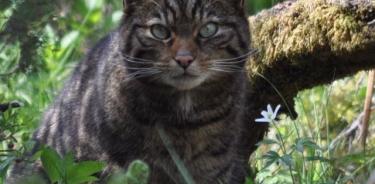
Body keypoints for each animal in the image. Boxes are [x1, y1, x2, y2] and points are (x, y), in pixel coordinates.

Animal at [8, 0, 264, 183]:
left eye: (209, 29)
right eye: (160, 31)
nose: (184, 59)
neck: (184, 121)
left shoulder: (215, 169)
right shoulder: (107, 165)